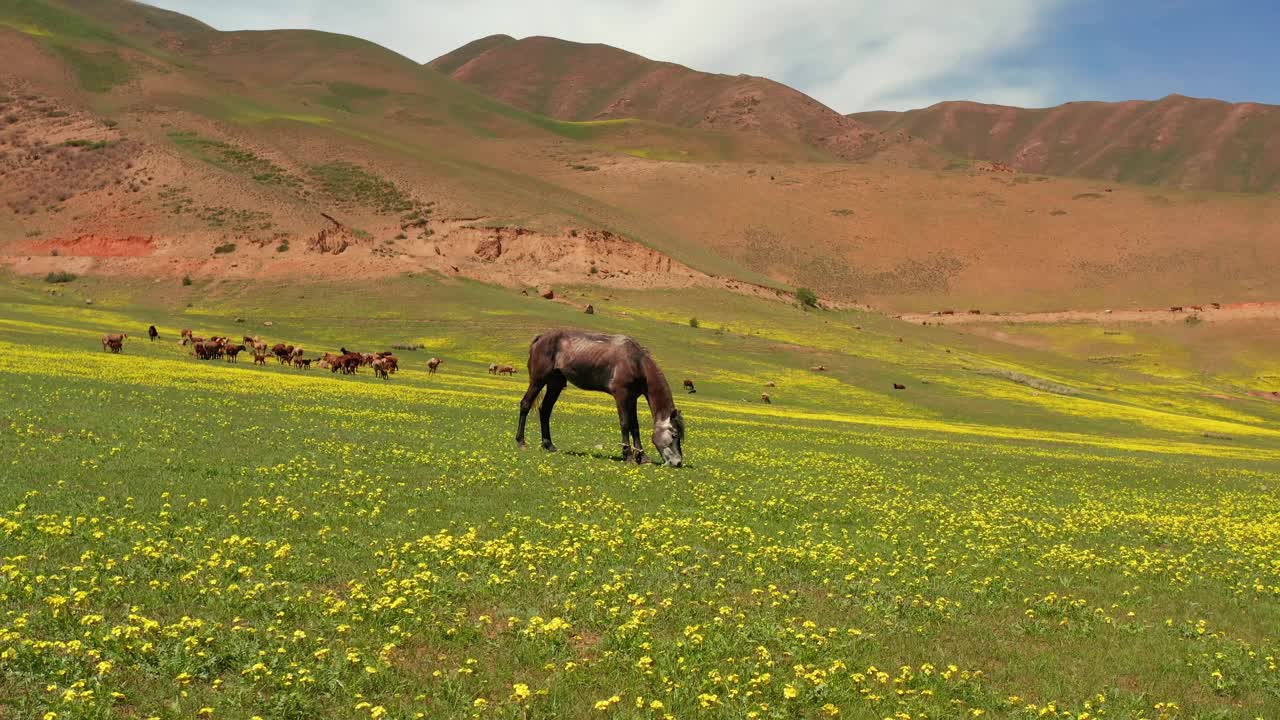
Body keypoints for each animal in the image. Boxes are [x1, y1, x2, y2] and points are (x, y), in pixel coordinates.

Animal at [514, 330, 686, 466]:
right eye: (674, 435)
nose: (678, 462)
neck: (636, 362)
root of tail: (540, 338)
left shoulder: (632, 399)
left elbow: (635, 427)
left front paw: (642, 457)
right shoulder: (622, 396)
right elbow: (625, 424)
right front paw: (629, 456)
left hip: (555, 384)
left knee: (545, 411)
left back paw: (549, 445)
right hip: (538, 381)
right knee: (526, 404)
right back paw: (521, 442)